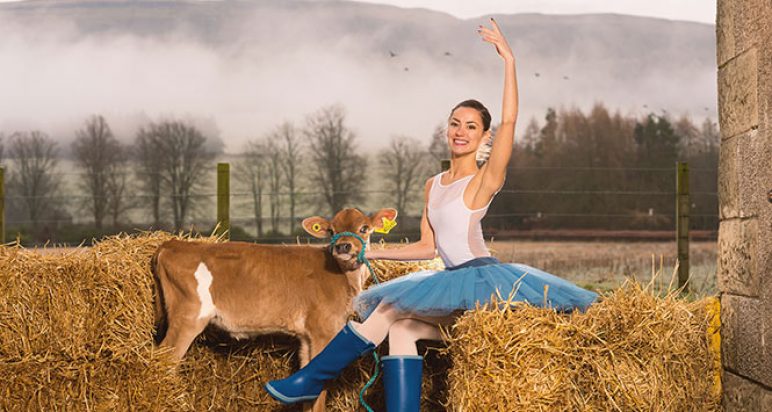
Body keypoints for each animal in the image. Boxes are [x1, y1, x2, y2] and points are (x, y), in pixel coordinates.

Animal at [152, 208, 398, 410]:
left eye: (363, 228)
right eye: (332, 230)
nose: (343, 246)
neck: (342, 275)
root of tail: (174, 244)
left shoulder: (306, 337)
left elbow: (308, 383)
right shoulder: (323, 330)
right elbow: (319, 385)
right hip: (188, 318)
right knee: (164, 361)